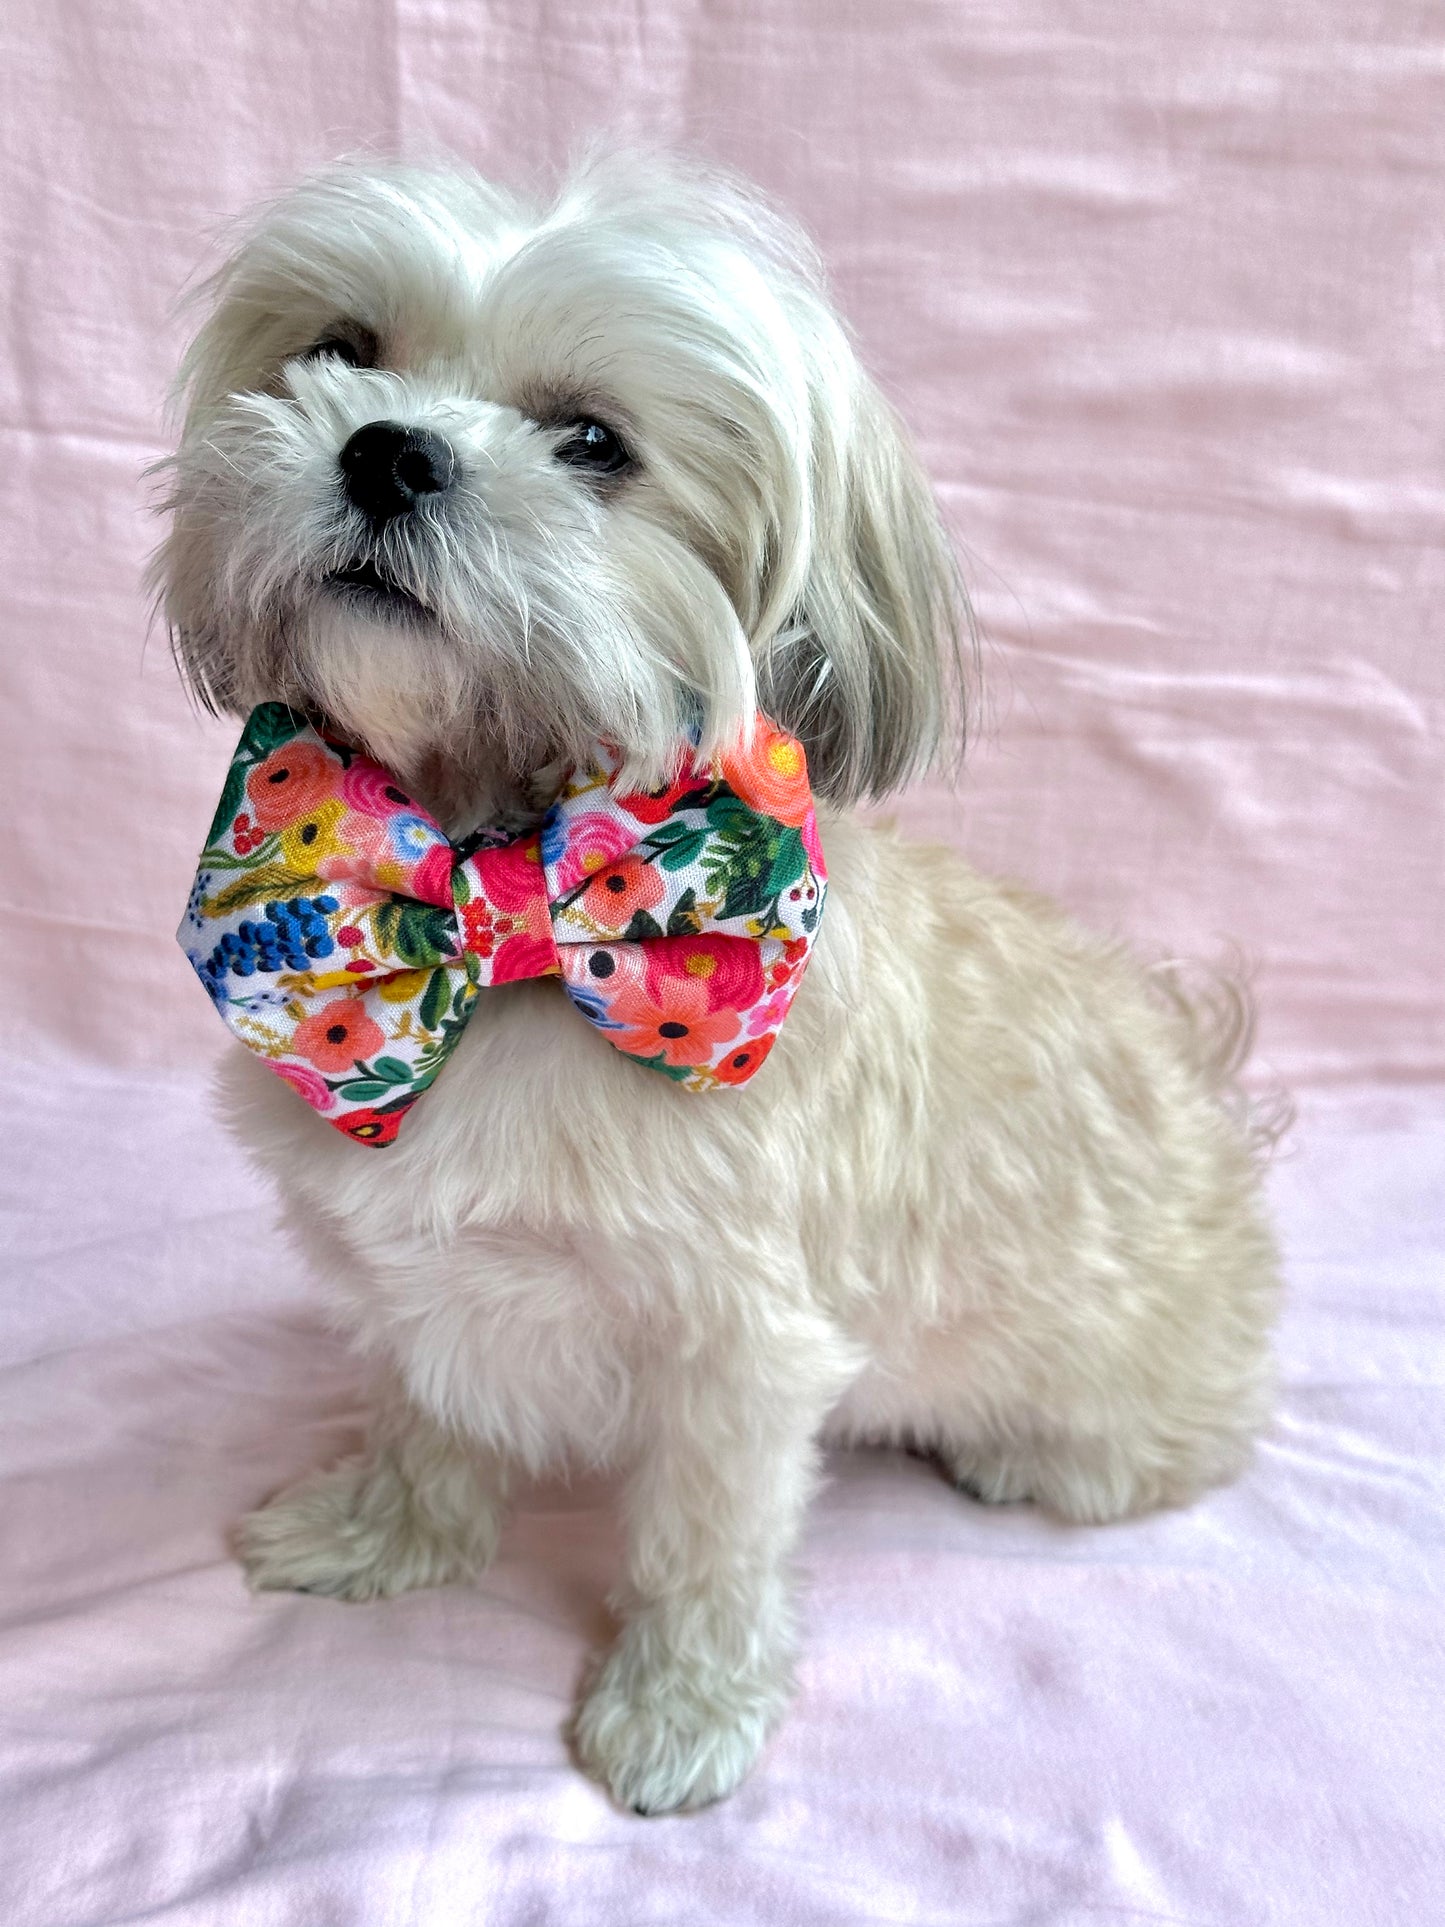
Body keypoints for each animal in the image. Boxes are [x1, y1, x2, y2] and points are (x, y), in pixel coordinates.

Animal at [153, 158, 1287, 1811]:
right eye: (338, 349)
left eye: (592, 443)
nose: (387, 448)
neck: (502, 910)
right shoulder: (422, 1278)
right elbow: (427, 1408)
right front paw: (385, 1534)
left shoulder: (741, 1344)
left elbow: (706, 1536)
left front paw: (679, 1706)